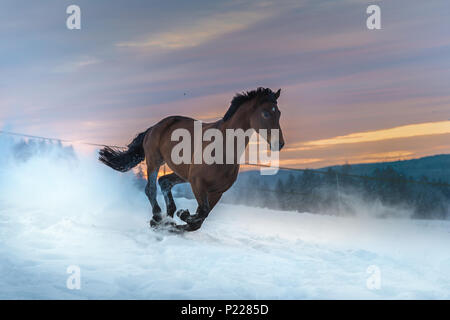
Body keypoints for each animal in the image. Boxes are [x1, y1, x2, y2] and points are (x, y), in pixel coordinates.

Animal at [100, 87, 286, 232]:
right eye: (265, 113)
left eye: (279, 113)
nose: (279, 143)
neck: (223, 147)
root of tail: (155, 127)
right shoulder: (198, 183)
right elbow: (201, 212)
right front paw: (182, 215)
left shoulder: (217, 192)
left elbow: (200, 220)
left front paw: (178, 221)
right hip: (155, 161)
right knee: (151, 188)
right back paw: (158, 217)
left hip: (182, 173)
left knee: (164, 182)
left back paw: (167, 217)